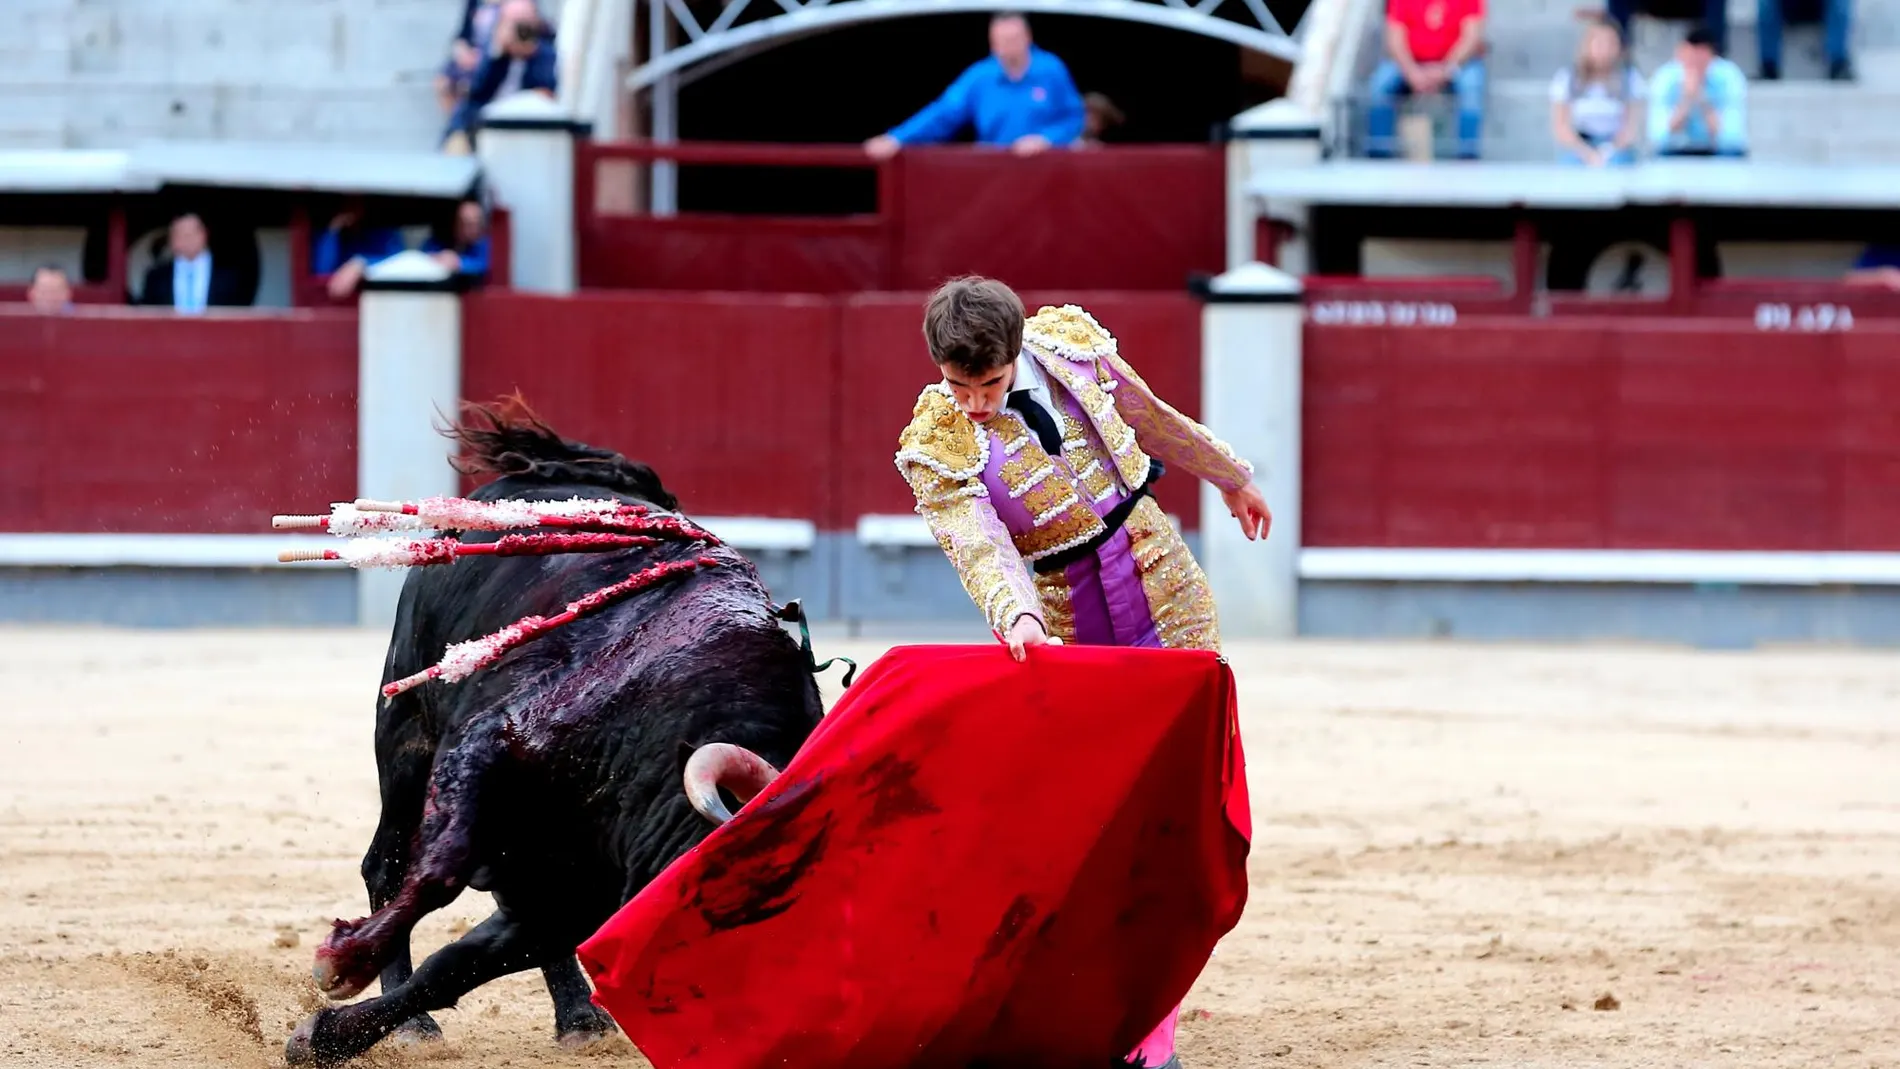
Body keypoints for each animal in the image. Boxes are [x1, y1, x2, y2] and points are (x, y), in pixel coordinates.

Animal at [285, 408, 820, 1063]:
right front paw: (342, 966)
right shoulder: (483, 744)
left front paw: (326, 1036)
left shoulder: (571, 896)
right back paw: (415, 1022)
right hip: (406, 734)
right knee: (386, 864)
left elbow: (454, 967)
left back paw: (579, 1019)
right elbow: (440, 873)